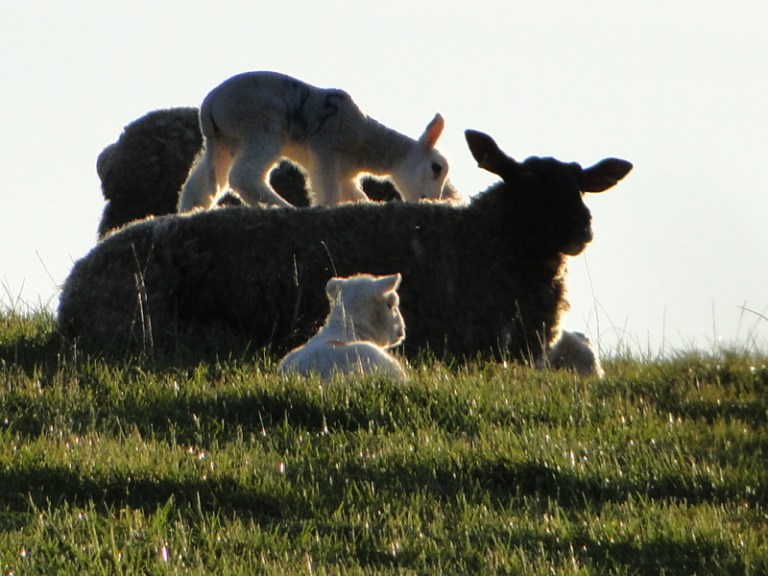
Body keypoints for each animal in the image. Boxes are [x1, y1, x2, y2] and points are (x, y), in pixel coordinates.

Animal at [177, 71, 457, 211]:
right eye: (436, 168)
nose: (430, 200)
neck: (367, 142)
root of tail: (209, 105)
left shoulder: (344, 173)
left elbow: (356, 195)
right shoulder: (325, 151)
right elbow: (328, 193)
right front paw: (325, 206)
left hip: (226, 142)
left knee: (200, 185)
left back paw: (192, 210)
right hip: (262, 130)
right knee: (242, 176)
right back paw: (282, 206)